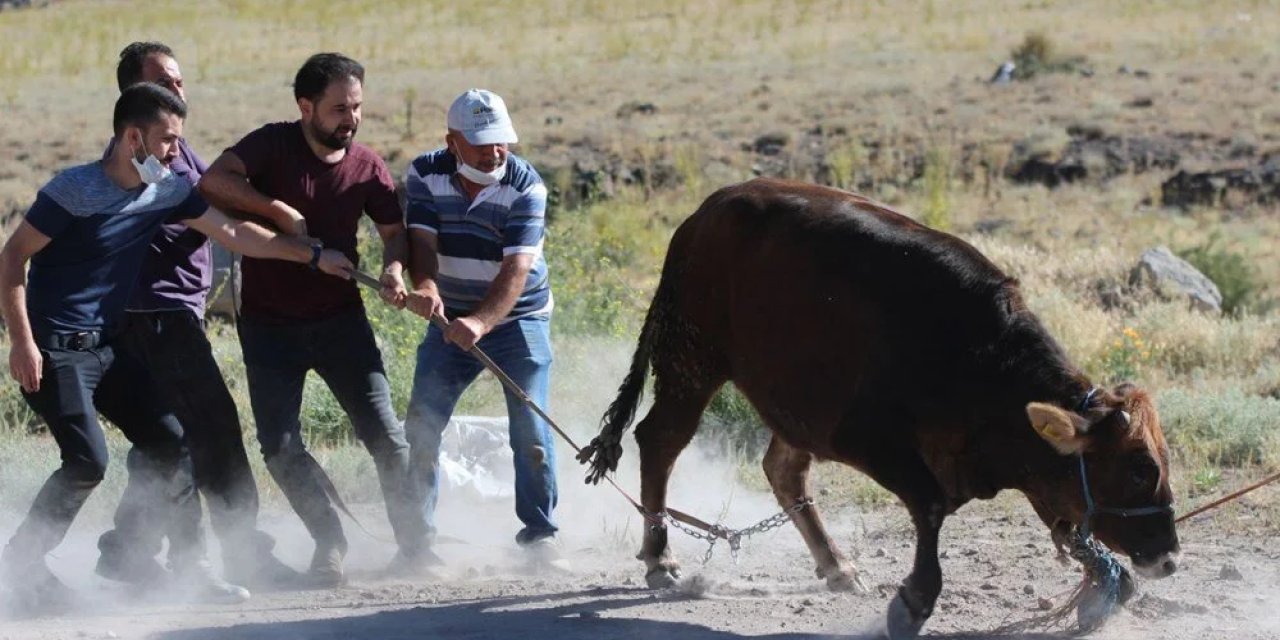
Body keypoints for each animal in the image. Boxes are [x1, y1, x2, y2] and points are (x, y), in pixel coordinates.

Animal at [581, 177, 1177, 637]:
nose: (1170, 557)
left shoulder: (1029, 466)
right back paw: (661, 558)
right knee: (660, 442)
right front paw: (914, 602)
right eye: (1138, 469)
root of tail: (704, 213)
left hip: (789, 400)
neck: (981, 355)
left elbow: (1069, 520)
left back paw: (836, 565)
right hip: (692, 364)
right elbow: (931, 508)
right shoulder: (867, 439)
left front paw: (1107, 579)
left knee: (783, 472)